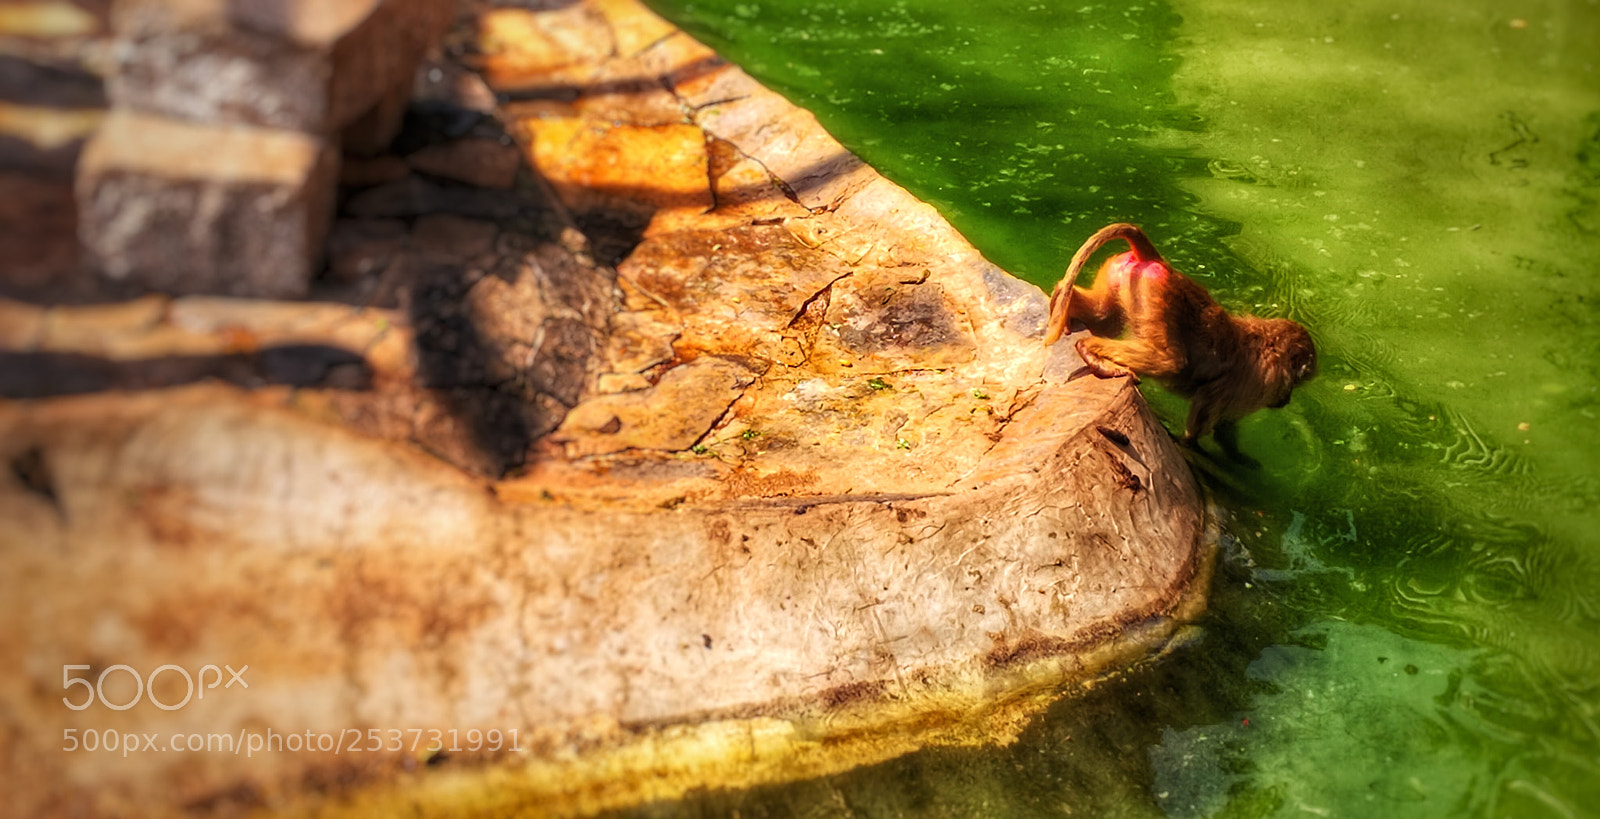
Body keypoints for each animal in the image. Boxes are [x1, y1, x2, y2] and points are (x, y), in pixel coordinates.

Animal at [1043, 223, 1316, 466]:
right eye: (1293, 384)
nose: (1287, 400)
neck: (1270, 344)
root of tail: (1161, 264)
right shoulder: (1264, 381)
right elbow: (1209, 402)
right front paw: (1193, 444)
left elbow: (1225, 422)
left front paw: (1236, 456)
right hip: (1157, 294)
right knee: (1169, 361)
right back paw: (1089, 348)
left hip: (1126, 281)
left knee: (1105, 318)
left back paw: (1061, 301)